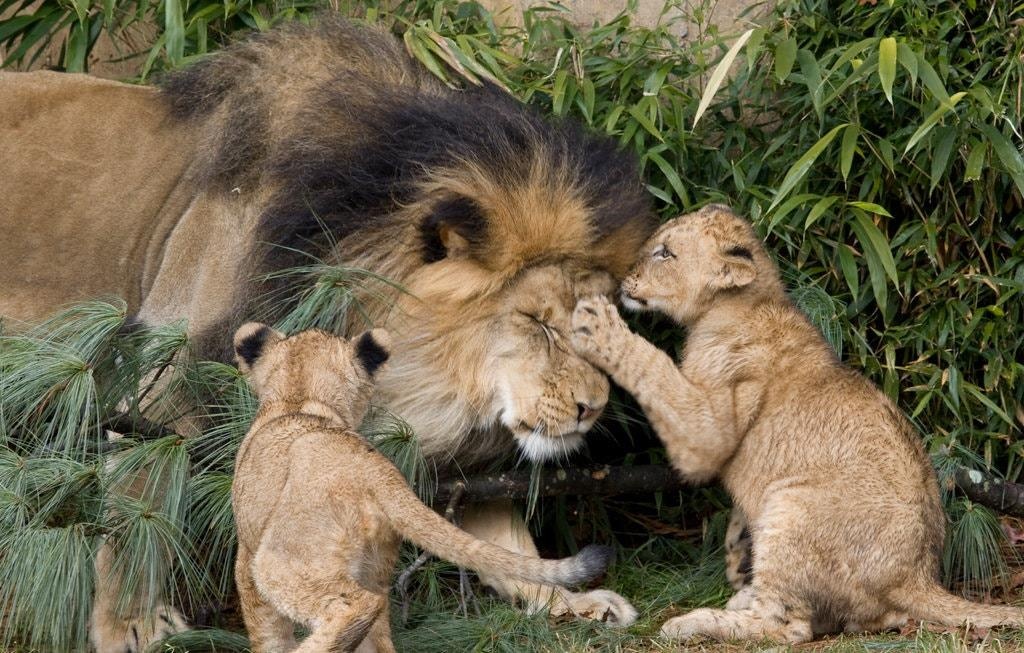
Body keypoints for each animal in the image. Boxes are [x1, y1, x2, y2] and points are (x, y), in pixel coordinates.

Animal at [231, 323, 613, 652]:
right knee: (377, 631)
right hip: (373, 566)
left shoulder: (246, 557)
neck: (302, 400)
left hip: (282, 556)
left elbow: (267, 633)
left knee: (354, 606)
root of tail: (375, 470)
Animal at [568, 205, 1024, 643]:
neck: (743, 302)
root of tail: (918, 576)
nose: (622, 280)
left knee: (788, 628)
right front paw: (736, 547)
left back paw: (694, 623)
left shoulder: (707, 431)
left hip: (790, 504)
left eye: (665, 253)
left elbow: (655, 369)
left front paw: (600, 326)